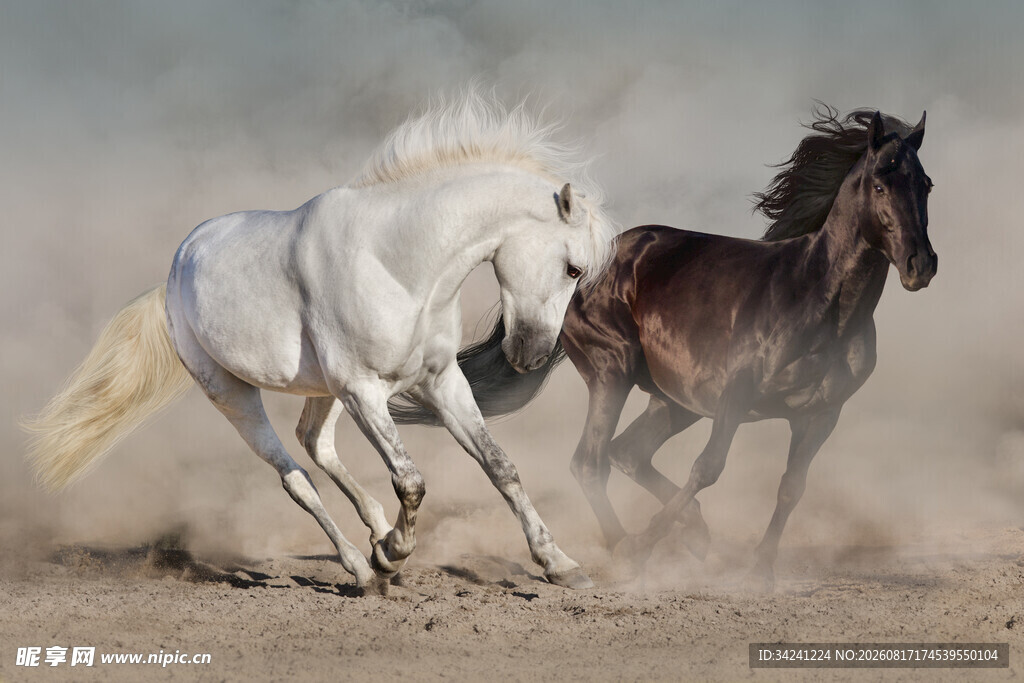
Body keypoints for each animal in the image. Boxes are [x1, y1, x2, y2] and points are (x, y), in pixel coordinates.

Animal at [23, 91, 617, 594]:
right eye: (573, 267)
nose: (530, 356)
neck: (398, 264)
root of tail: (176, 268)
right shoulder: (362, 390)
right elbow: (411, 480)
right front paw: (394, 553)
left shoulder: (439, 381)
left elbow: (500, 467)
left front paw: (561, 565)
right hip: (233, 394)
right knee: (296, 476)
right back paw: (364, 567)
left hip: (321, 391)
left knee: (315, 444)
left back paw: (375, 532)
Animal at [389, 106, 935, 590]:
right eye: (881, 184)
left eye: (926, 185)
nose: (921, 265)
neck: (819, 301)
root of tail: (589, 260)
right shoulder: (736, 398)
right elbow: (708, 468)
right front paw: (643, 547)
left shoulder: (820, 415)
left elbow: (790, 488)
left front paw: (760, 572)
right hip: (614, 373)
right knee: (592, 461)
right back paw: (624, 549)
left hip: (675, 400)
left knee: (627, 453)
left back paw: (695, 534)